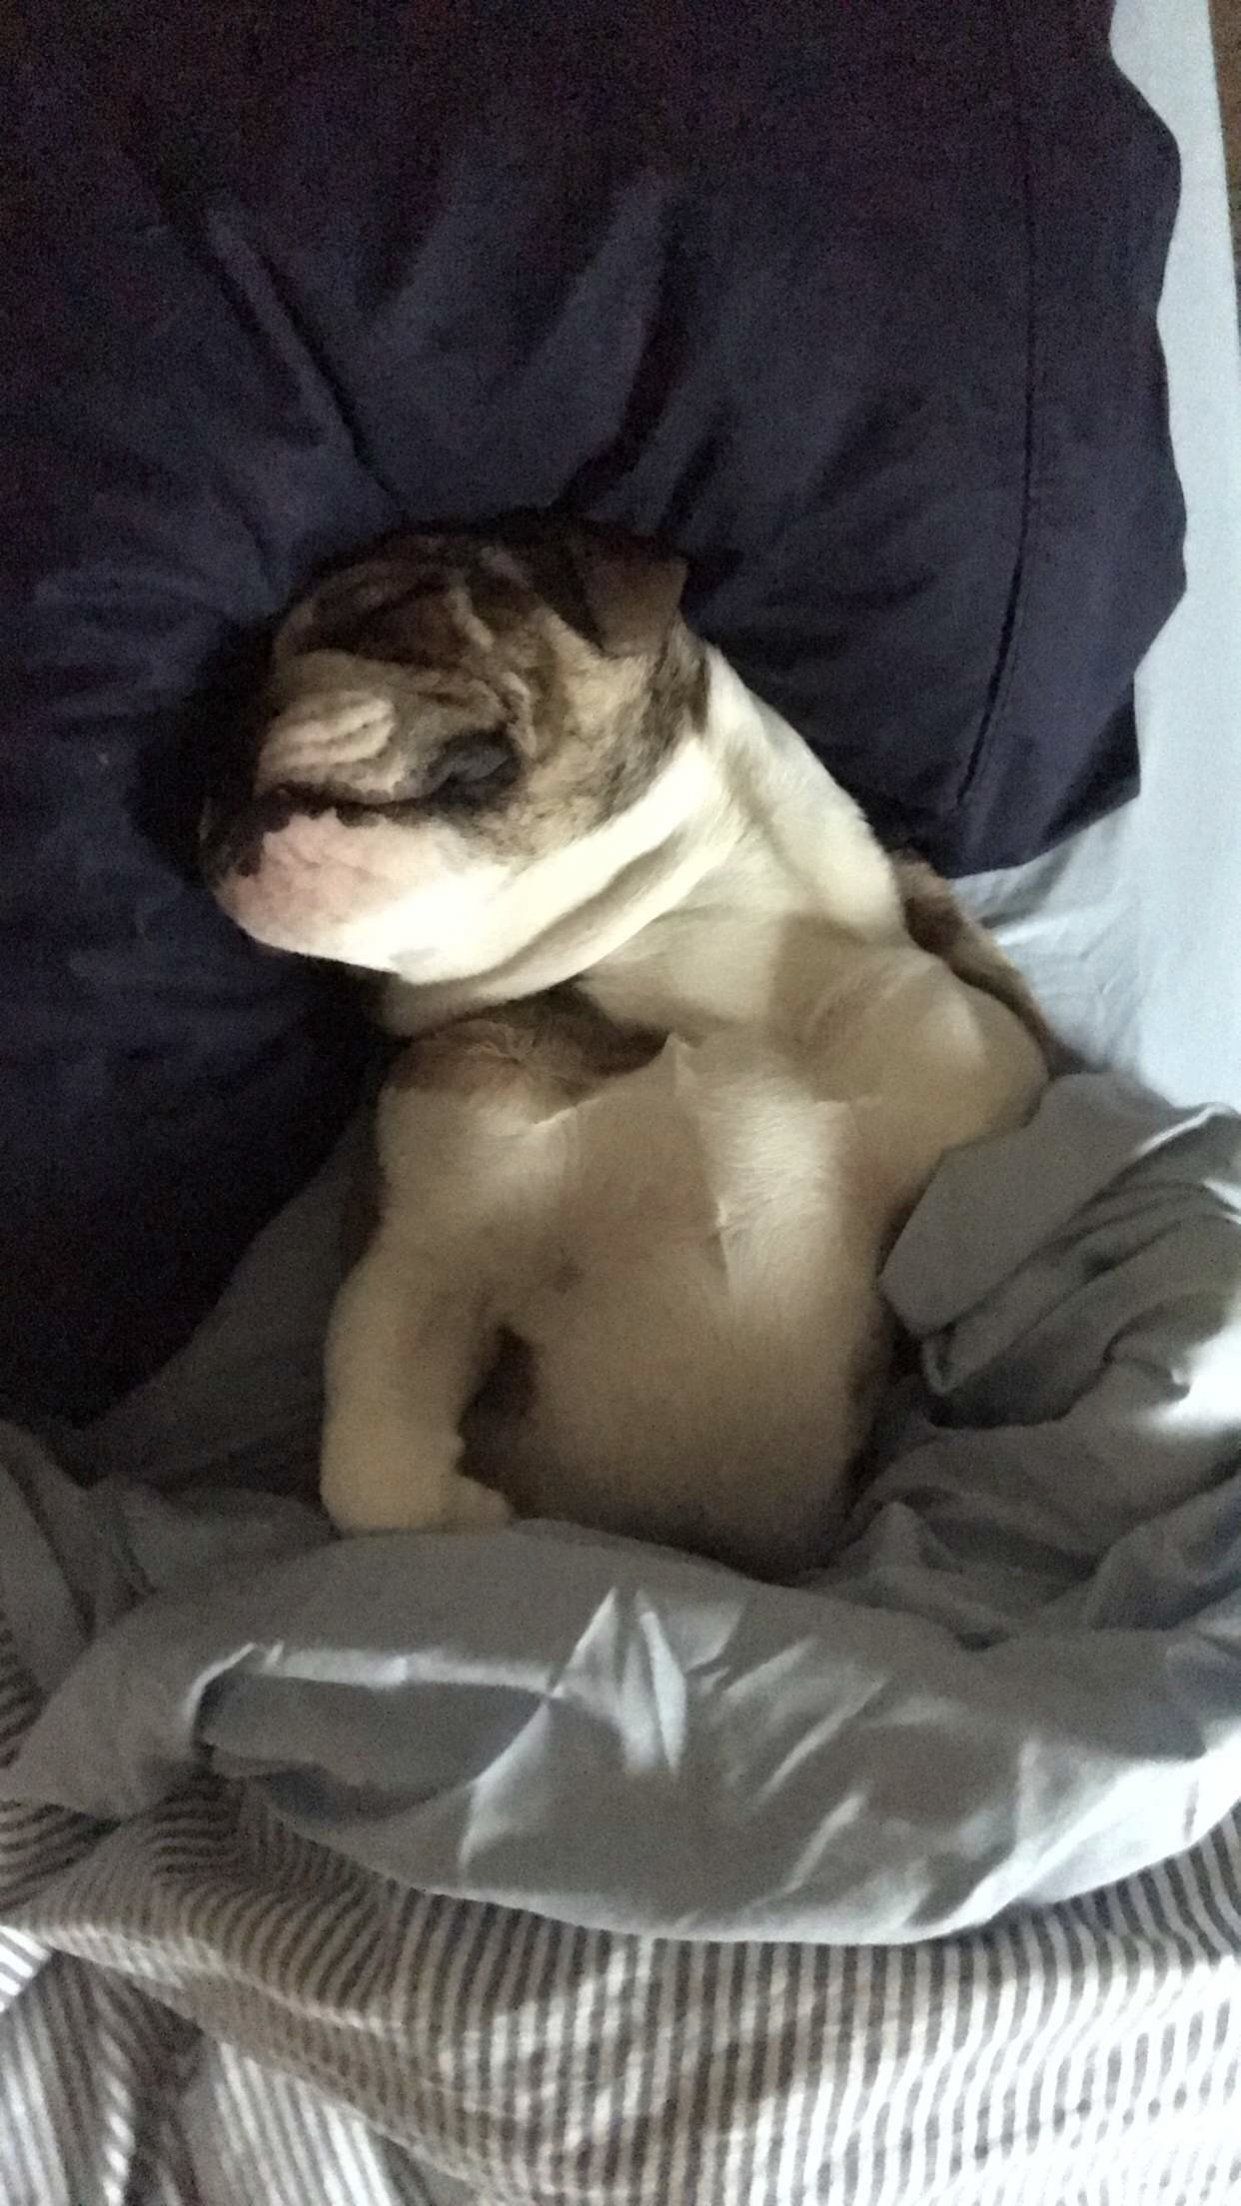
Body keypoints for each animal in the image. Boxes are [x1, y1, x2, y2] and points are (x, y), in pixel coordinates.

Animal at [205, 520, 1050, 1578]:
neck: (680, 957)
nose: (212, 740)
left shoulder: (983, 1079)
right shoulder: (426, 1248)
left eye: (385, 608)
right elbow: (373, 1480)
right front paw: (473, 1519)